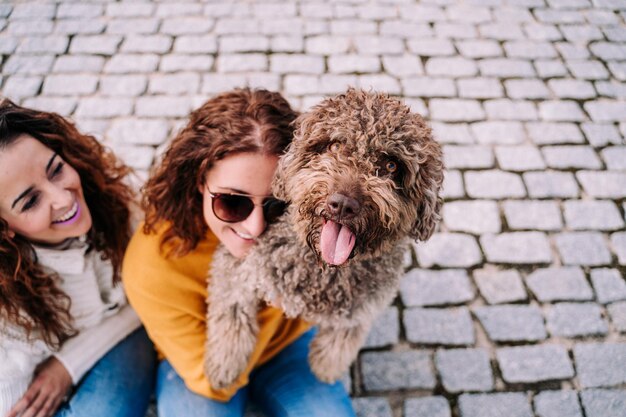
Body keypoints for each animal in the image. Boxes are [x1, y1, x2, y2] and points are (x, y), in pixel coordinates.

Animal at [202, 88, 442, 386]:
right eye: (335, 146)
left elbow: (341, 341)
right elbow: (232, 315)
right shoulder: (238, 265)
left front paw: (324, 367)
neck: (327, 270)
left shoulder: (362, 308)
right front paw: (224, 366)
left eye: (390, 165)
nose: (343, 204)